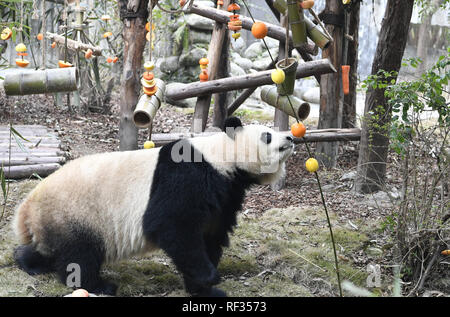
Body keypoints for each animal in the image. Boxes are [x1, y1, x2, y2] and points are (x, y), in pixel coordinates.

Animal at [12, 116, 294, 296]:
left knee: (50, 248)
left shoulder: (225, 195)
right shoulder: (185, 177)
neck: (222, 158)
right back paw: (99, 286)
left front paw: (205, 289)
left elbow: (210, 235)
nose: (291, 137)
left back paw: (28, 262)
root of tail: (28, 204)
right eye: (267, 135)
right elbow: (173, 225)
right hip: (76, 213)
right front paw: (209, 278)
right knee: (80, 255)